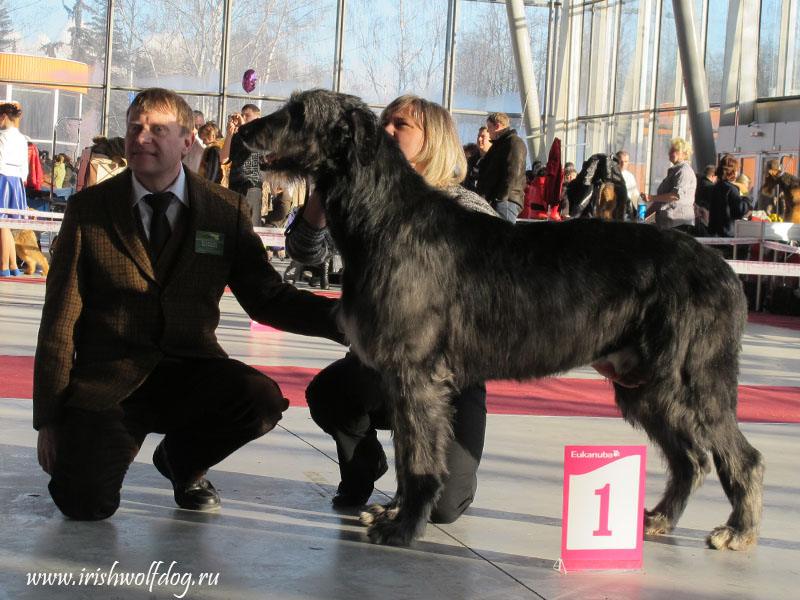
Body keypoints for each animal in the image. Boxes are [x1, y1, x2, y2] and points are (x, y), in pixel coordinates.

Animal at [236, 86, 764, 552]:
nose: (244, 132)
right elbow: (408, 452)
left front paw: (404, 527)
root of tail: (722, 268)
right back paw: (659, 519)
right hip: (644, 386)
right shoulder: (402, 378)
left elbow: (420, 458)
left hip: (693, 378)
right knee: (691, 459)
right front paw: (395, 511)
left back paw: (738, 529)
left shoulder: (416, 374)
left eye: (299, 112)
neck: (387, 218)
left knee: (743, 456)